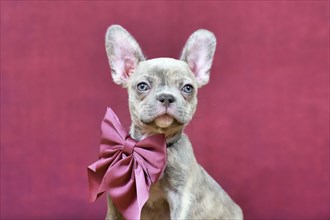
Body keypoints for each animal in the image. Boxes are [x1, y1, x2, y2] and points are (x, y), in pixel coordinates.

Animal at [105, 24, 242, 219]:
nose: (166, 97)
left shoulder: (182, 197)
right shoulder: (118, 199)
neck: (156, 146)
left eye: (188, 88)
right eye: (142, 86)